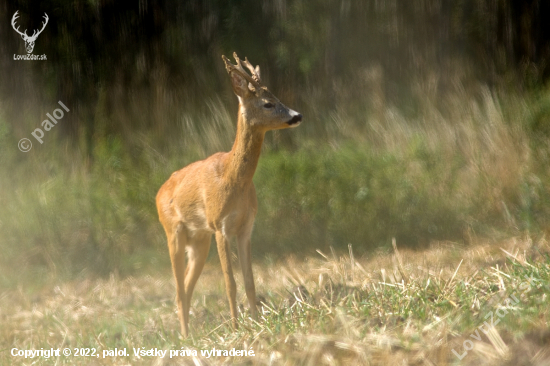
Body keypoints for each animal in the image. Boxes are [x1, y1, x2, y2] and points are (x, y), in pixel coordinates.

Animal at [155, 53, 304, 336]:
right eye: (268, 103)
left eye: (277, 97)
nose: (297, 115)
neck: (233, 179)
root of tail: (159, 192)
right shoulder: (220, 226)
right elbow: (230, 283)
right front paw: (236, 328)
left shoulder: (246, 227)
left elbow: (250, 281)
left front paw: (256, 323)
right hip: (174, 232)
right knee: (179, 289)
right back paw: (184, 336)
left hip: (199, 240)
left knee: (187, 287)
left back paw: (189, 334)